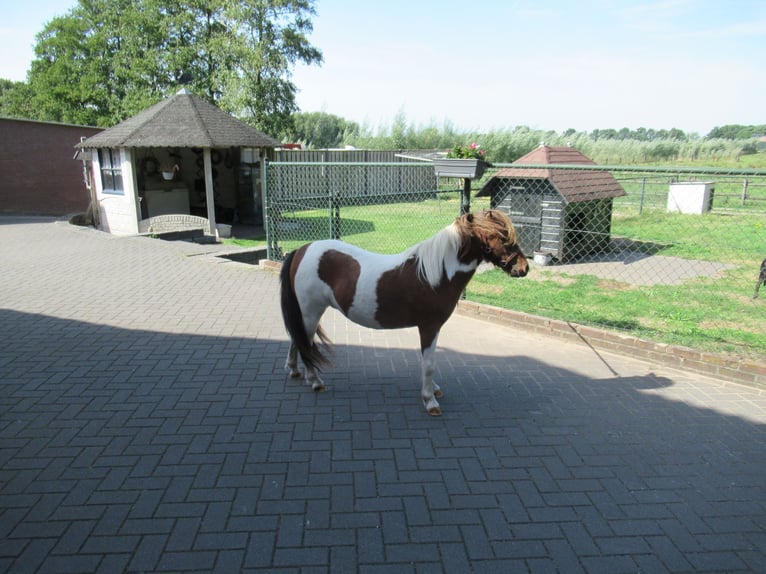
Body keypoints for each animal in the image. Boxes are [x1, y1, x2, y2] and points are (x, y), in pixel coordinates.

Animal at [279, 209, 529, 416]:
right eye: (502, 237)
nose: (524, 268)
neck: (435, 274)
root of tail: (302, 250)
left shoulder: (432, 329)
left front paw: (434, 390)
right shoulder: (429, 327)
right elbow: (428, 364)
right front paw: (430, 401)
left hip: (307, 314)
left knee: (297, 340)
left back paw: (294, 371)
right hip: (311, 312)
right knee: (304, 343)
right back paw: (315, 381)